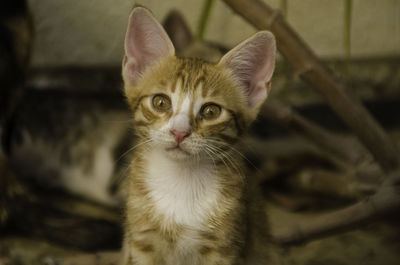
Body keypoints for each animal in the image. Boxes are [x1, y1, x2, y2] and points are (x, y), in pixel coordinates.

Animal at [122, 6, 276, 264]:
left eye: (211, 111)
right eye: (160, 102)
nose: (179, 132)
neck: (181, 180)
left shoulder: (224, 247)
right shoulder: (142, 241)